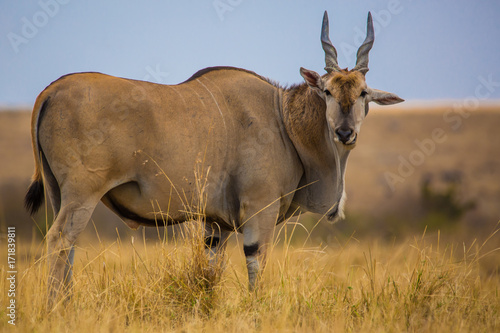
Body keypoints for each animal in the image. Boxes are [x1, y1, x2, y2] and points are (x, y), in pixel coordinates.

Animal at [25, 11, 404, 304]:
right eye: (326, 91)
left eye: (363, 93)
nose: (344, 133)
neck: (283, 118)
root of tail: (51, 91)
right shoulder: (260, 212)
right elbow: (256, 267)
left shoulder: (215, 226)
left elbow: (210, 274)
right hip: (82, 195)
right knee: (59, 240)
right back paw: (54, 308)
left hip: (60, 196)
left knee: (68, 246)